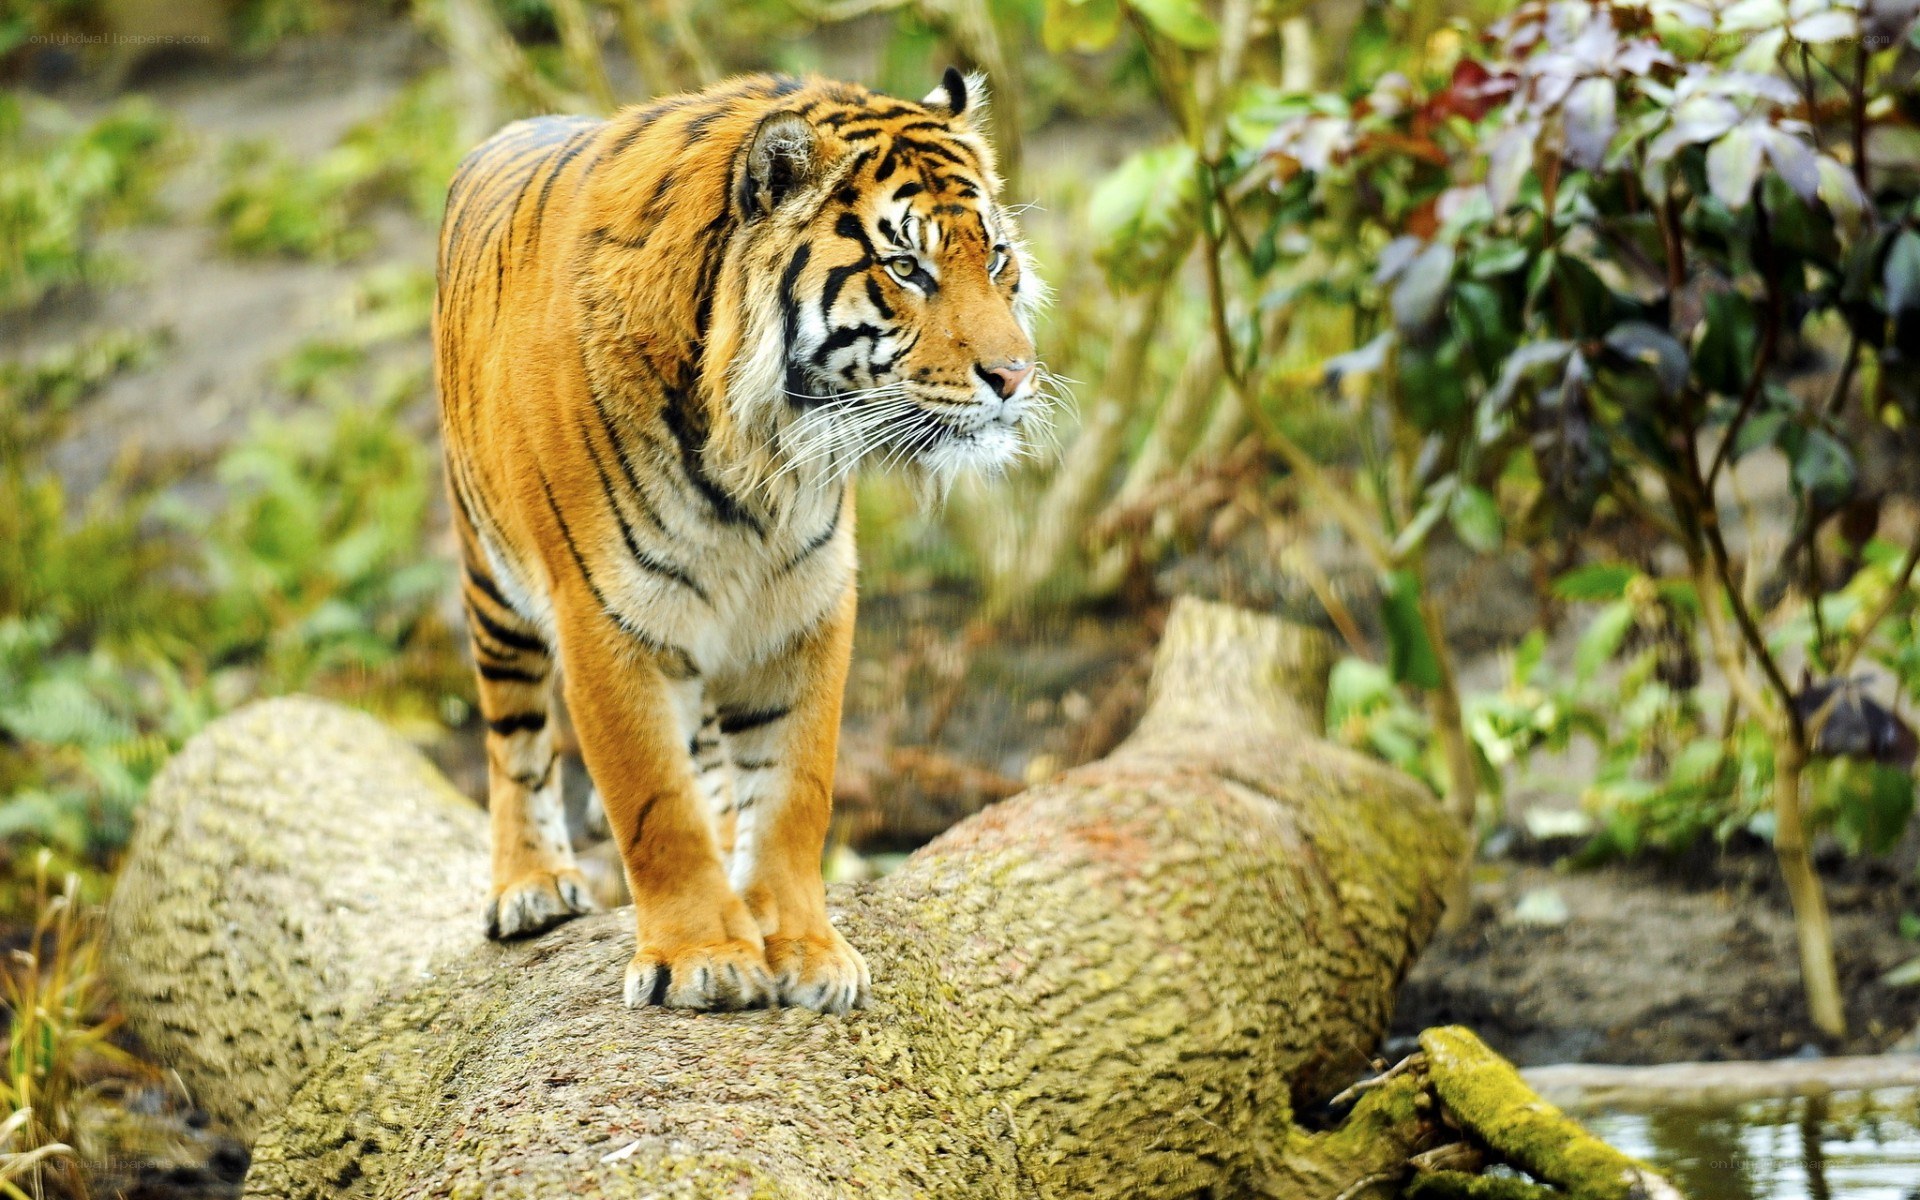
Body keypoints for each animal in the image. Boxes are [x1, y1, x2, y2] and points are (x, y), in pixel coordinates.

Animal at [432, 68, 1044, 1014]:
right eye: (907, 267)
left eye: (998, 257)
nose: (1016, 377)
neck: (759, 455)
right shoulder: (603, 621)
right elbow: (655, 804)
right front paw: (704, 957)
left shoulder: (802, 606)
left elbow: (793, 791)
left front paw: (804, 949)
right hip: (490, 579)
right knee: (515, 737)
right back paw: (530, 886)